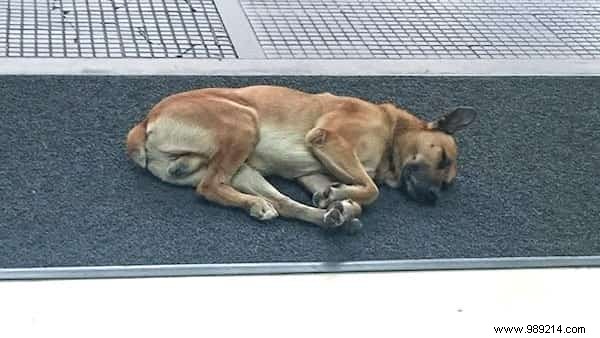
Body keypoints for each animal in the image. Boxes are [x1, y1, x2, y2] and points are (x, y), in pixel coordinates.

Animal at [125, 86, 474, 231]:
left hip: (244, 170)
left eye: (446, 183)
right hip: (244, 122)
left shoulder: (312, 173)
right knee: (209, 188)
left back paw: (328, 217)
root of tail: (143, 124)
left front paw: (338, 200)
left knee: (282, 203)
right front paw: (343, 196)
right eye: (443, 158)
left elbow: (350, 192)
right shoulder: (329, 140)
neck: (391, 131)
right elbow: (372, 190)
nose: (432, 198)